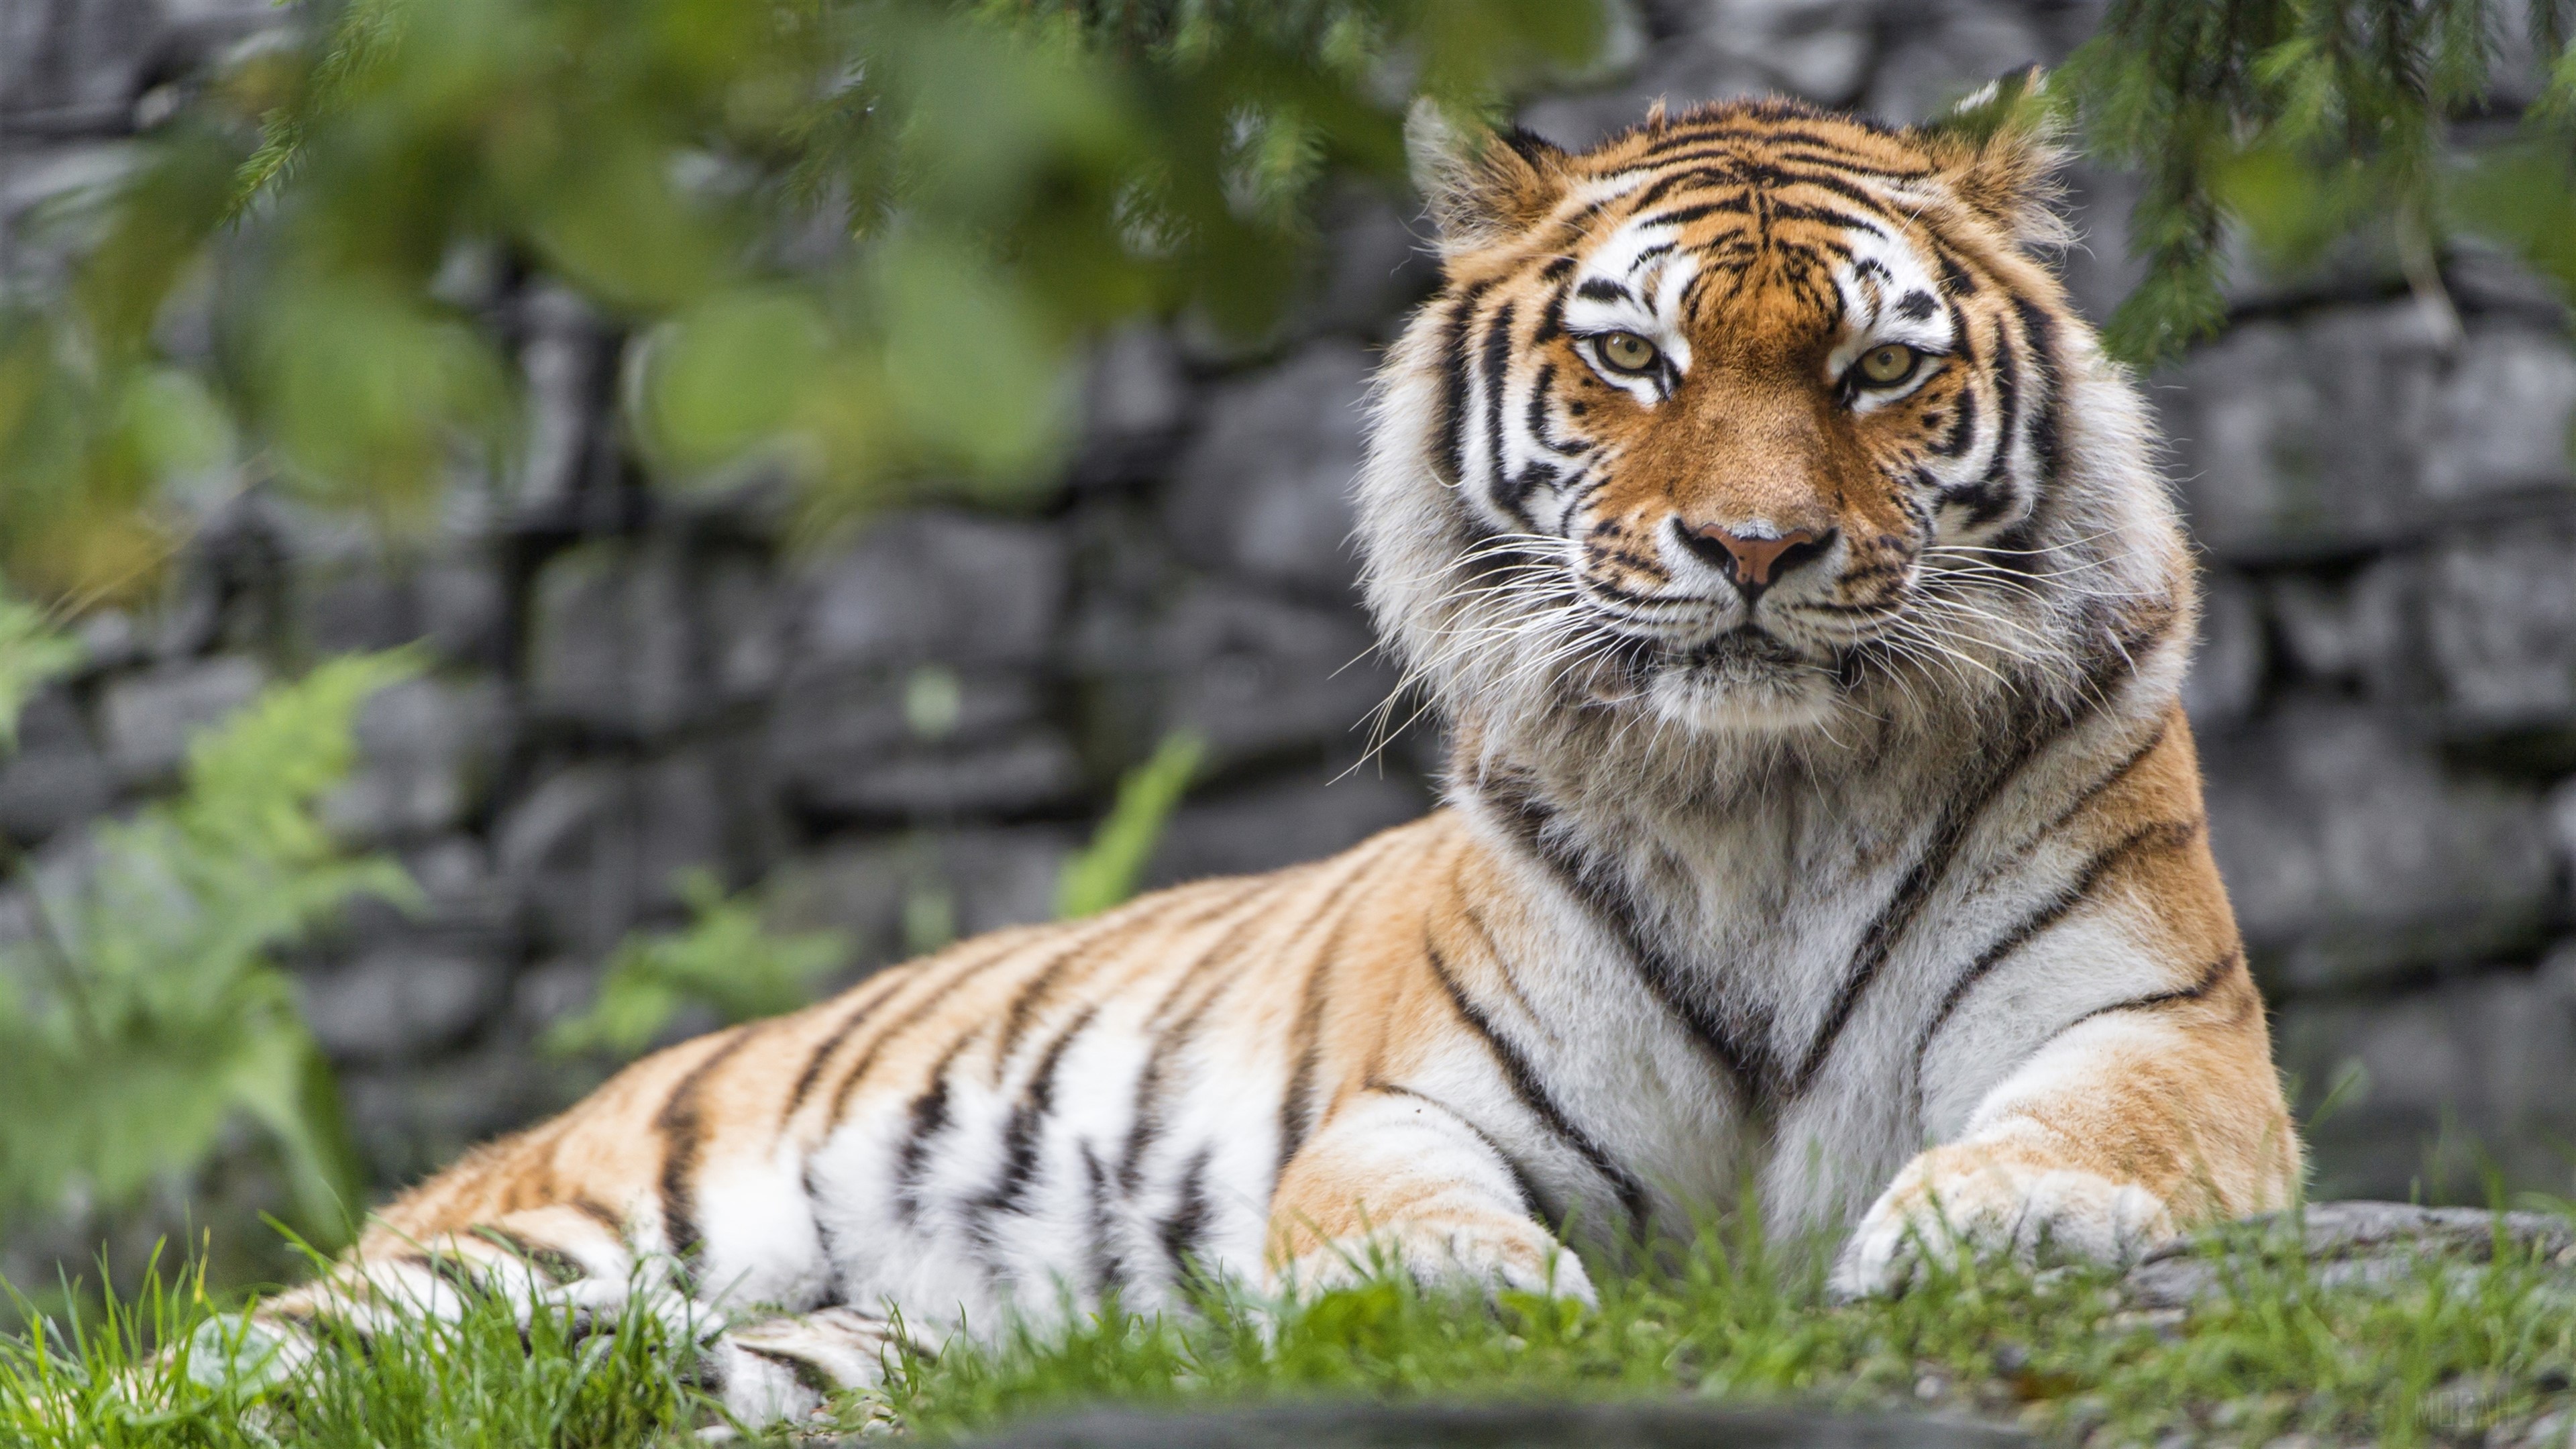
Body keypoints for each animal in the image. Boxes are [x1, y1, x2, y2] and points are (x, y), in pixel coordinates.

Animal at [223, 89, 2299, 1423]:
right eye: (1633, 360)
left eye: (1878, 370)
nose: (1757, 547)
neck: (1762, 803)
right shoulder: (1420, 1099)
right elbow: (1387, 1206)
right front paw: (1458, 1297)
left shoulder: (2160, 1028)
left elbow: (2091, 1125)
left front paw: (1993, 1221)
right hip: (568, 1228)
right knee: (242, 1352)